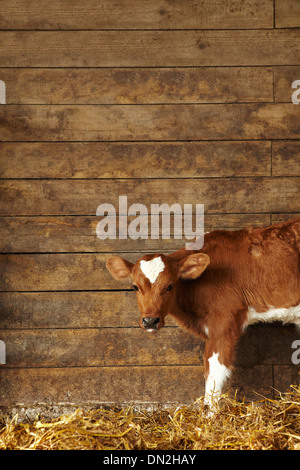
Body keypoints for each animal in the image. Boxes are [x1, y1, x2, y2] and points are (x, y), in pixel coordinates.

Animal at [106, 218, 300, 406]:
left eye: (170, 285)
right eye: (135, 287)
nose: (150, 321)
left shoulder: (224, 322)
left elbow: (214, 373)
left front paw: (210, 414)